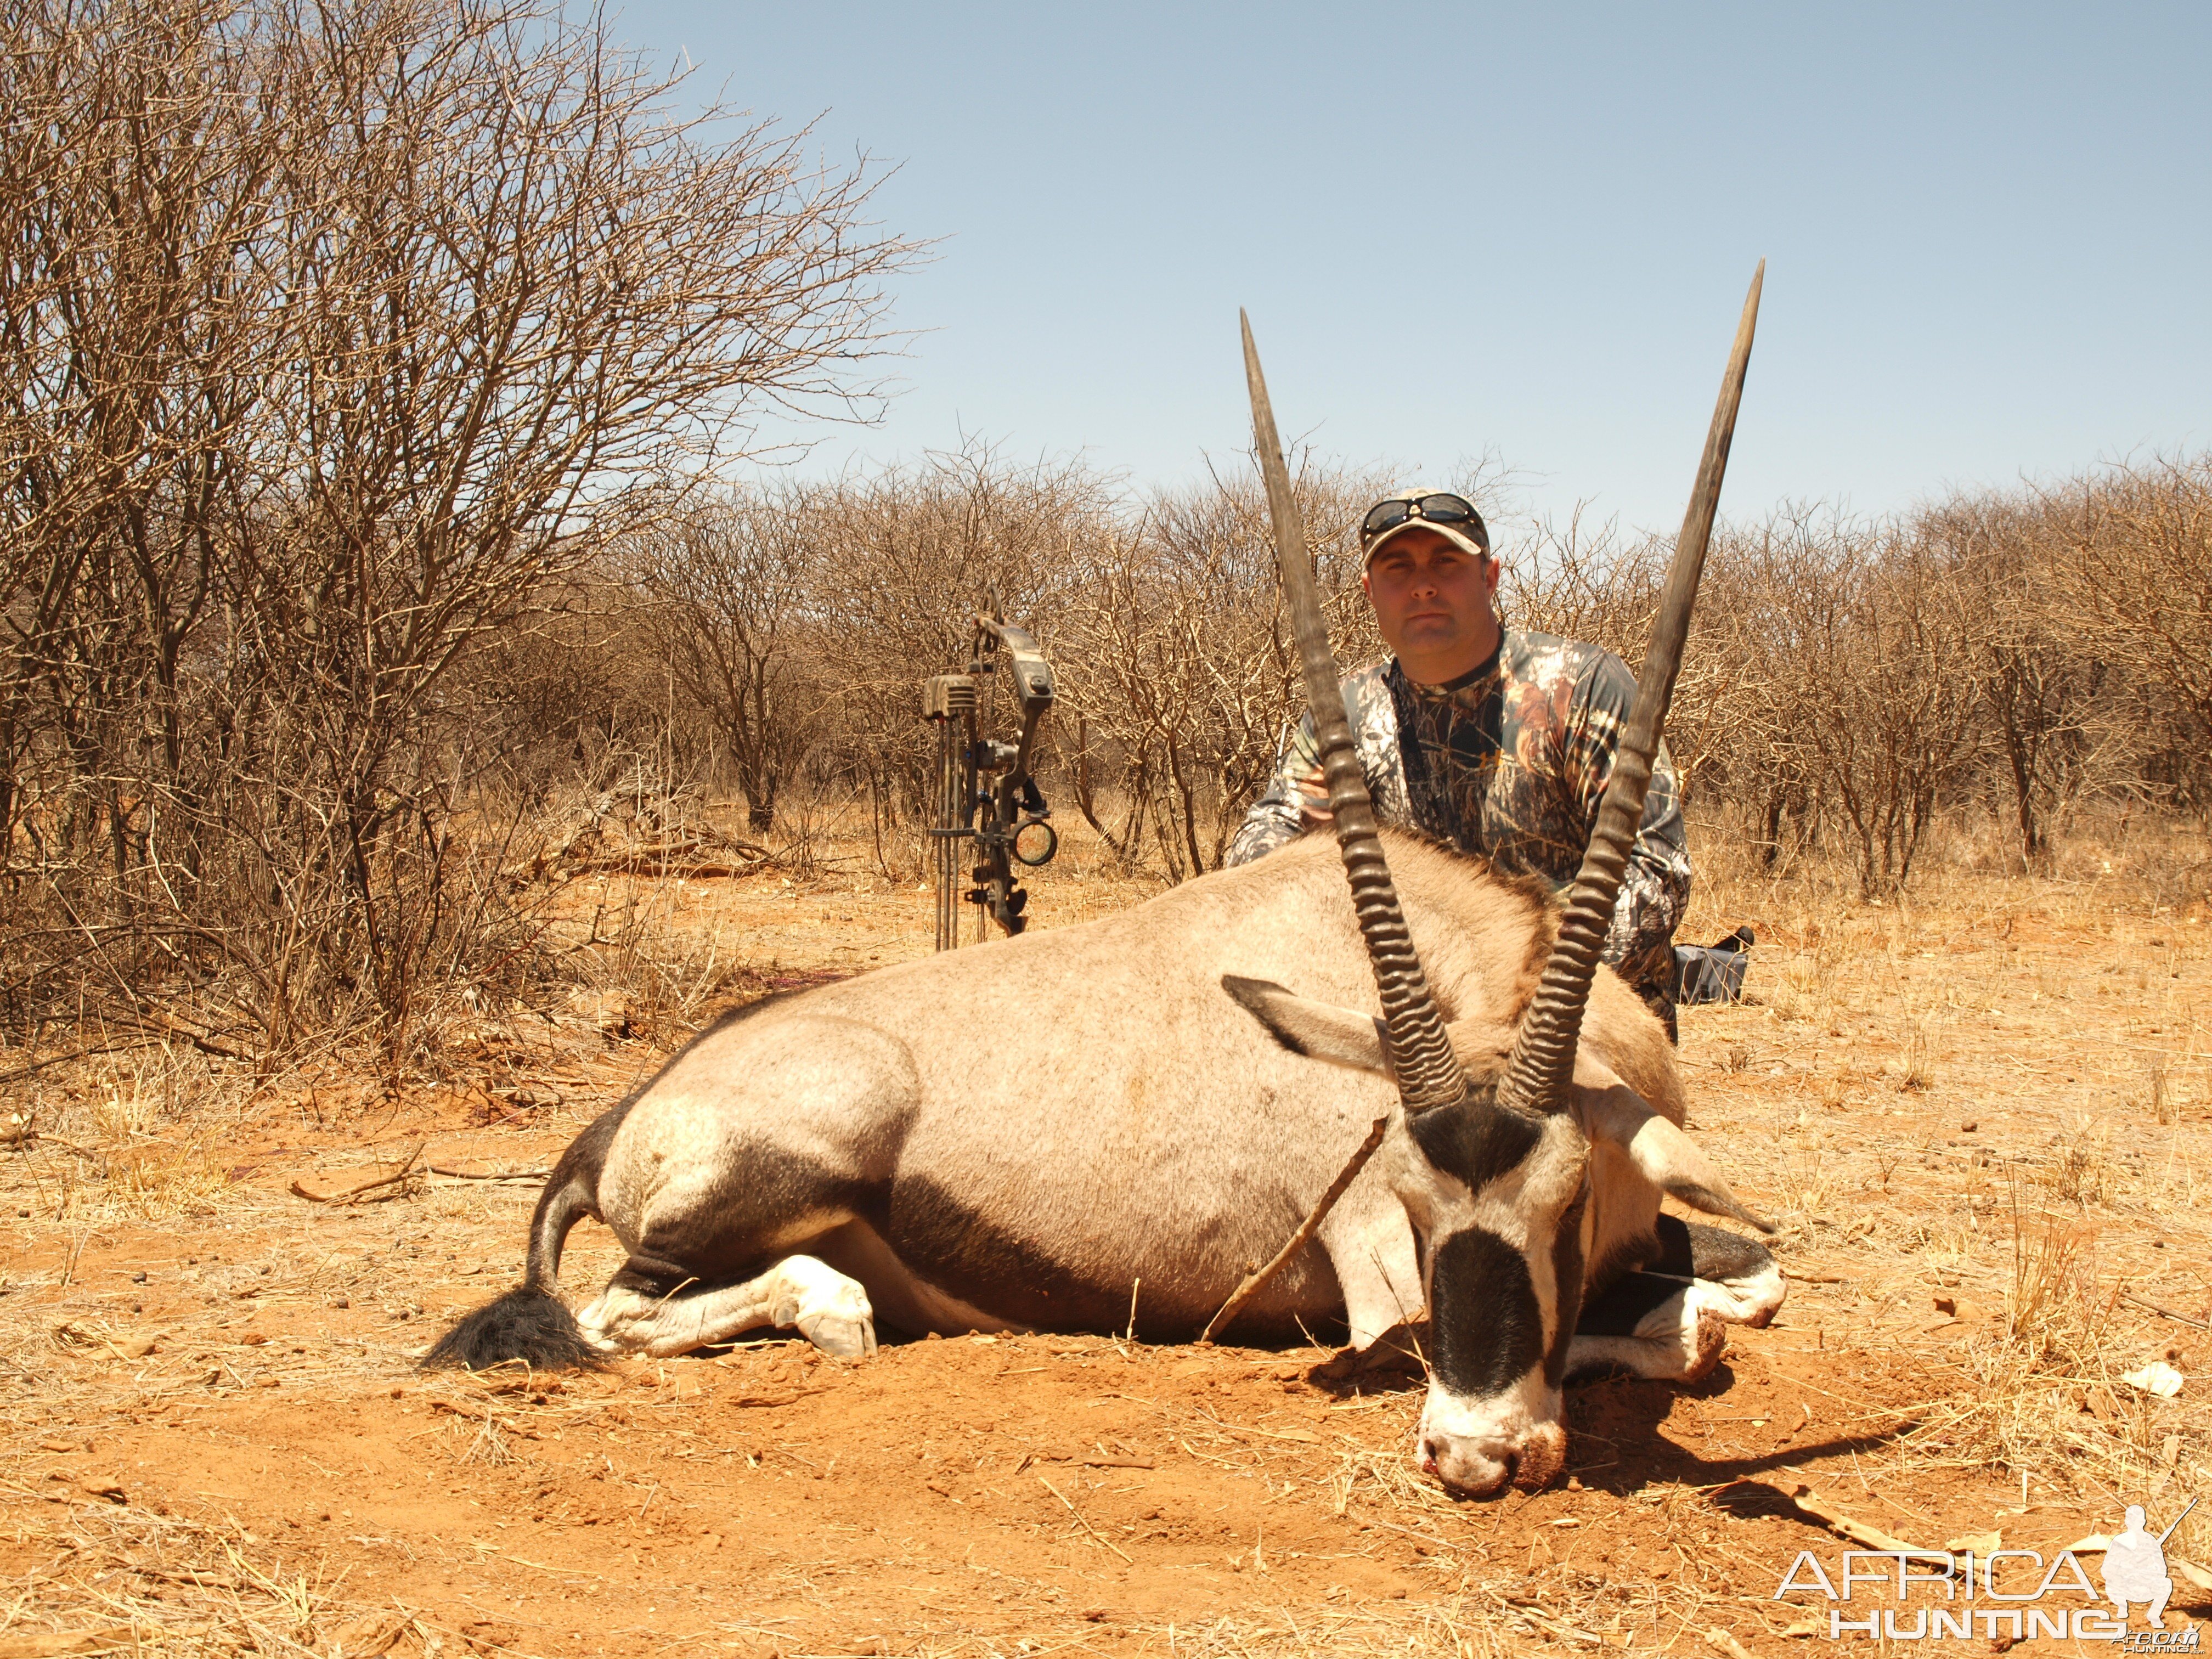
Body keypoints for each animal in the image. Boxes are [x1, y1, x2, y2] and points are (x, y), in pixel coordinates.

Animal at [427, 276, 1778, 1504]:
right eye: (1408, 1196)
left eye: (1567, 1201)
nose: (1475, 1454)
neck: (1467, 966)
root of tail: (620, 1120)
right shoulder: (1383, 1303)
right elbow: (1692, 1326)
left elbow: (1741, 1288)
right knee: (620, 1310)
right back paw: (838, 1308)